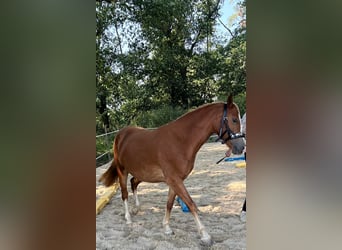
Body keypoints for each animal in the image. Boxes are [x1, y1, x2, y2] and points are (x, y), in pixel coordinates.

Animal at [99, 94, 246, 245]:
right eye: (234, 119)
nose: (241, 147)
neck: (180, 141)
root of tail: (121, 134)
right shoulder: (174, 180)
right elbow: (191, 204)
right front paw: (205, 235)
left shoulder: (175, 181)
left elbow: (169, 204)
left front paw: (167, 228)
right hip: (122, 171)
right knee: (124, 193)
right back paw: (128, 218)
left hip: (142, 173)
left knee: (133, 182)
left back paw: (137, 208)